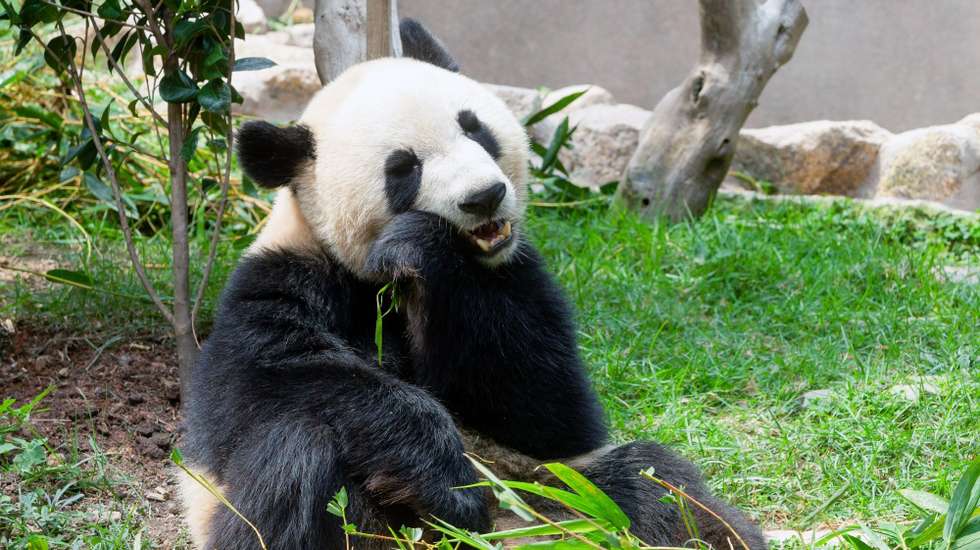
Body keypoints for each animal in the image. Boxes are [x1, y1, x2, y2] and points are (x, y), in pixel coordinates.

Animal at [179, 19, 767, 550]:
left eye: (474, 127)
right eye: (403, 168)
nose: (484, 196)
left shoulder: (512, 275)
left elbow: (543, 407)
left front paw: (420, 245)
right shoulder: (282, 279)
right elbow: (272, 383)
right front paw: (448, 485)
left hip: (552, 488)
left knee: (655, 488)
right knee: (298, 458)